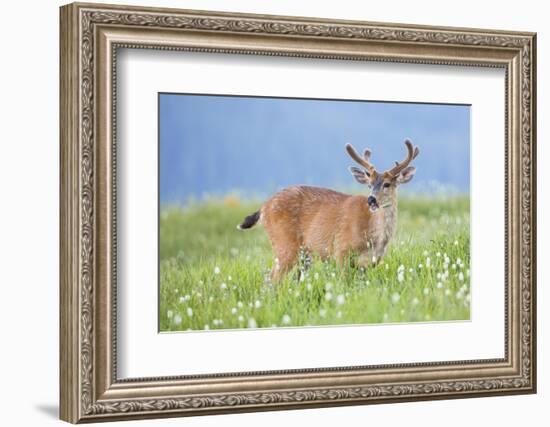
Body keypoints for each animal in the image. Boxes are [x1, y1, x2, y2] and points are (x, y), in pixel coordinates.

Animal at [237, 139, 422, 282]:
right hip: (284, 243)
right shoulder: (341, 250)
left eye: (387, 184)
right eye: (369, 185)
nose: (371, 200)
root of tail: (264, 207)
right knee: (272, 279)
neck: (373, 237)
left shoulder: (370, 263)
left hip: (304, 255)